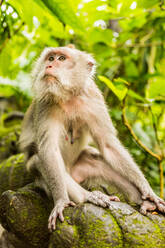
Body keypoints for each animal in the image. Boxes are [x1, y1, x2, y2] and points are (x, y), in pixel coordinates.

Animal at [19, 45, 165, 232]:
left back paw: (145, 203)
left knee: (98, 160)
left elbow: (108, 146)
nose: (49, 66)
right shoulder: (45, 103)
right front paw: (61, 201)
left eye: (61, 59)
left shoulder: (94, 99)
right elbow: (48, 151)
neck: (69, 96)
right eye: (50, 58)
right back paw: (88, 196)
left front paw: (147, 190)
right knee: (39, 161)